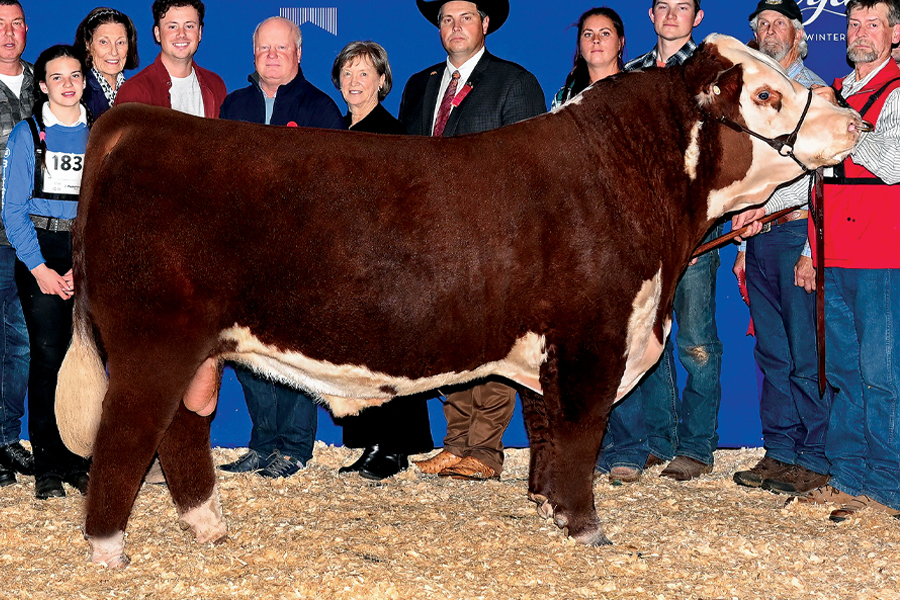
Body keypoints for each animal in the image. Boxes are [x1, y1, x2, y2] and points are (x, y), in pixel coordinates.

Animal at [55, 35, 865, 567]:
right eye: (765, 95)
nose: (854, 119)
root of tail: (136, 123)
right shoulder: (594, 337)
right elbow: (581, 434)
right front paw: (587, 529)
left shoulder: (550, 349)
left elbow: (545, 429)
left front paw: (546, 505)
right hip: (154, 342)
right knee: (127, 434)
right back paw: (108, 550)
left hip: (198, 349)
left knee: (182, 430)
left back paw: (207, 527)